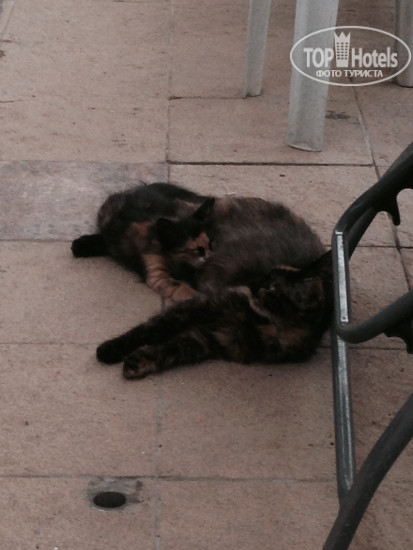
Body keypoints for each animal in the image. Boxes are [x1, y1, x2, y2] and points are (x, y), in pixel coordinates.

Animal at [96, 251, 333, 379]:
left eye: (270, 286)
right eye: (265, 275)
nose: (252, 283)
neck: (260, 323)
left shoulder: (206, 340)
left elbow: (168, 350)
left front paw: (138, 363)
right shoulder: (196, 306)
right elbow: (147, 330)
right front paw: (110, 349)